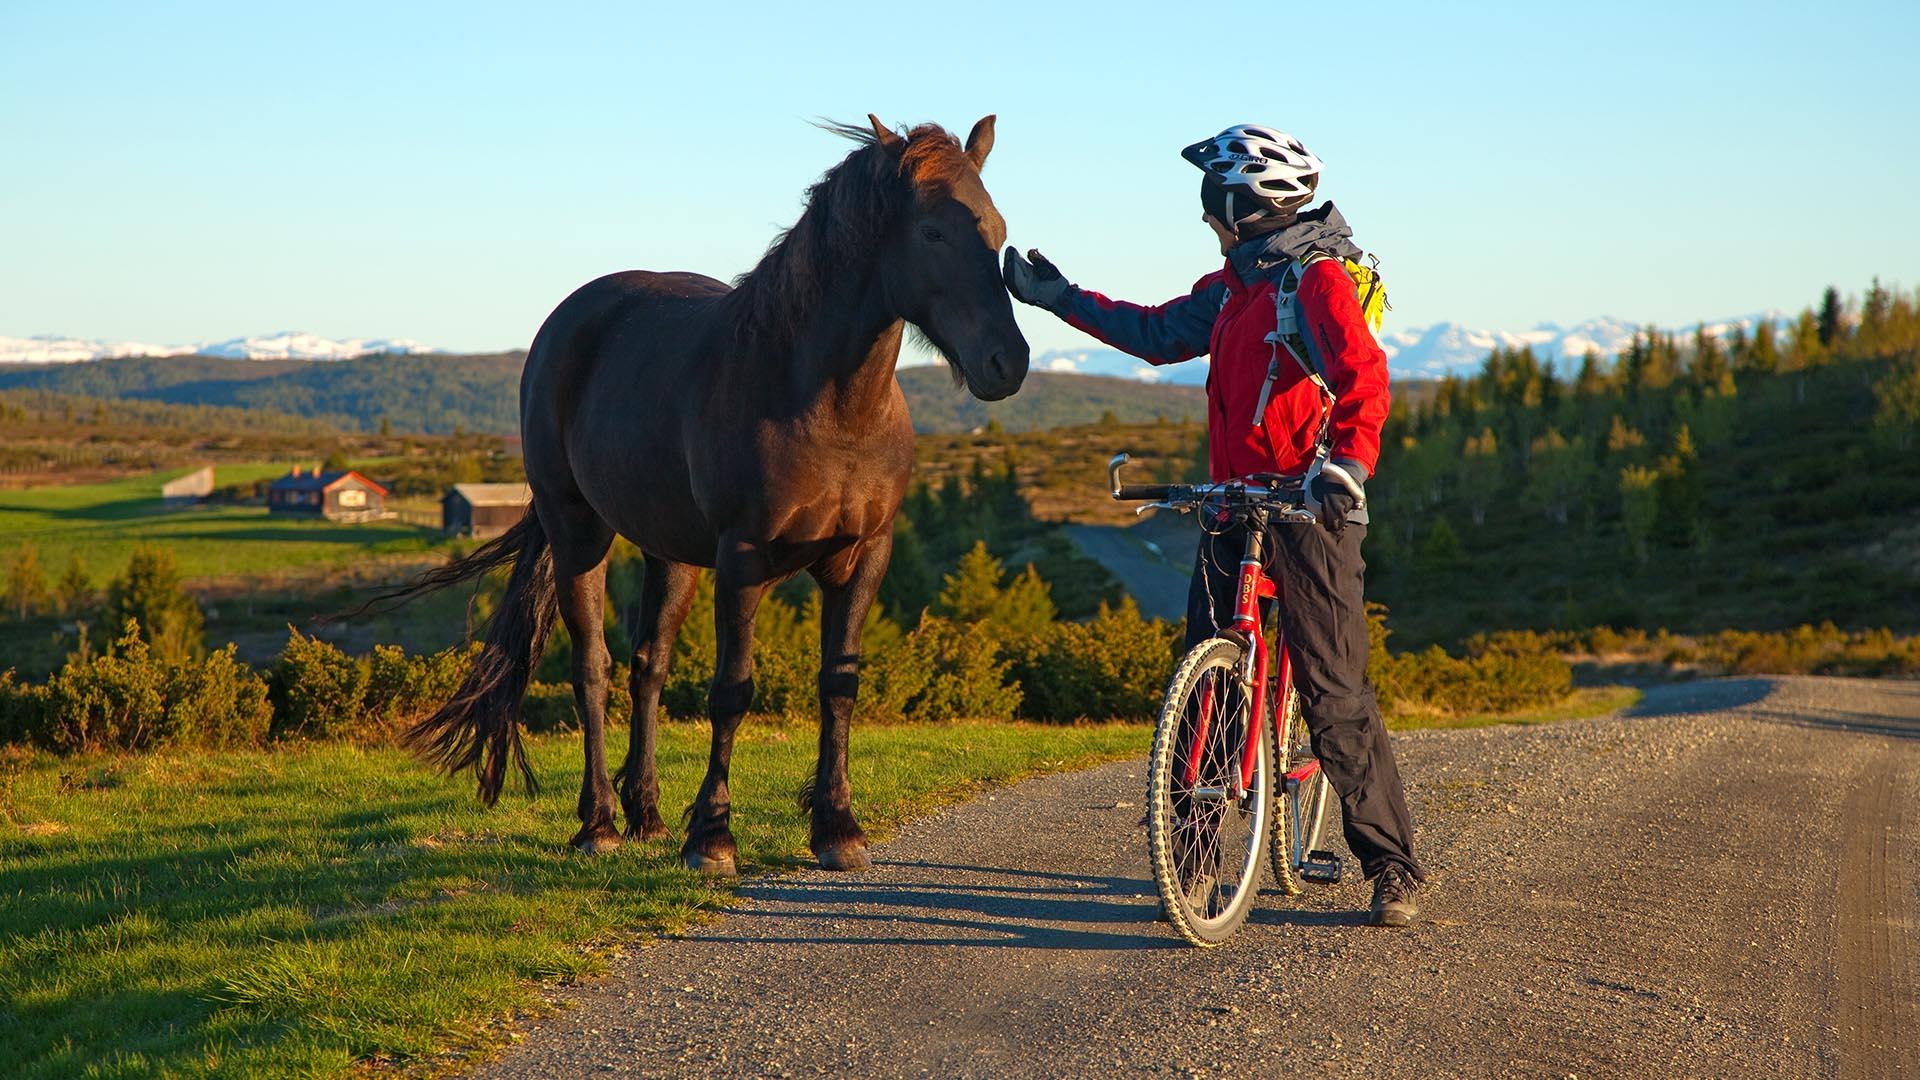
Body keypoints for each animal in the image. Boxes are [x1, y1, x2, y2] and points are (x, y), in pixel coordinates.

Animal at [380, 117, 1029, 868]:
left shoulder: (865, 556)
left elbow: (839, 685)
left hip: (671, 553)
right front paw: (714, 837)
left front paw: (838, 829)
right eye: (932, 233)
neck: (829, 407)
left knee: (647, 668)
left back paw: (647, 815)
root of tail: (568, 322)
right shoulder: (743, 559)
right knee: (593, 668)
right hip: (579, 532)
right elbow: (732, 690)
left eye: (997, 230)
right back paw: (599, 824)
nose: (1008, 362)